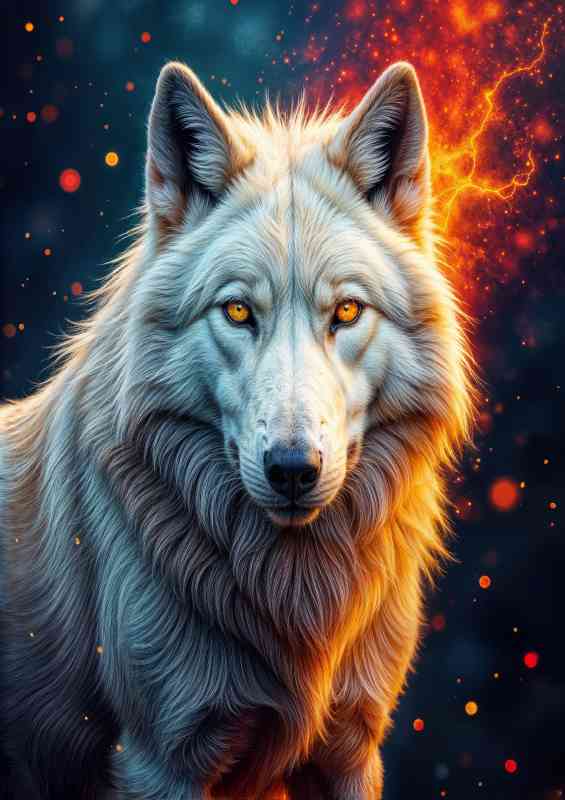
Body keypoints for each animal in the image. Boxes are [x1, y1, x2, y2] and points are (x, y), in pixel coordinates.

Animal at [0, 60, 472, 799]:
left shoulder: (349, 750)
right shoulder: (162, 760)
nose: (291, 469)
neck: (292, 592)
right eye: (238, 311)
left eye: (346, 311)